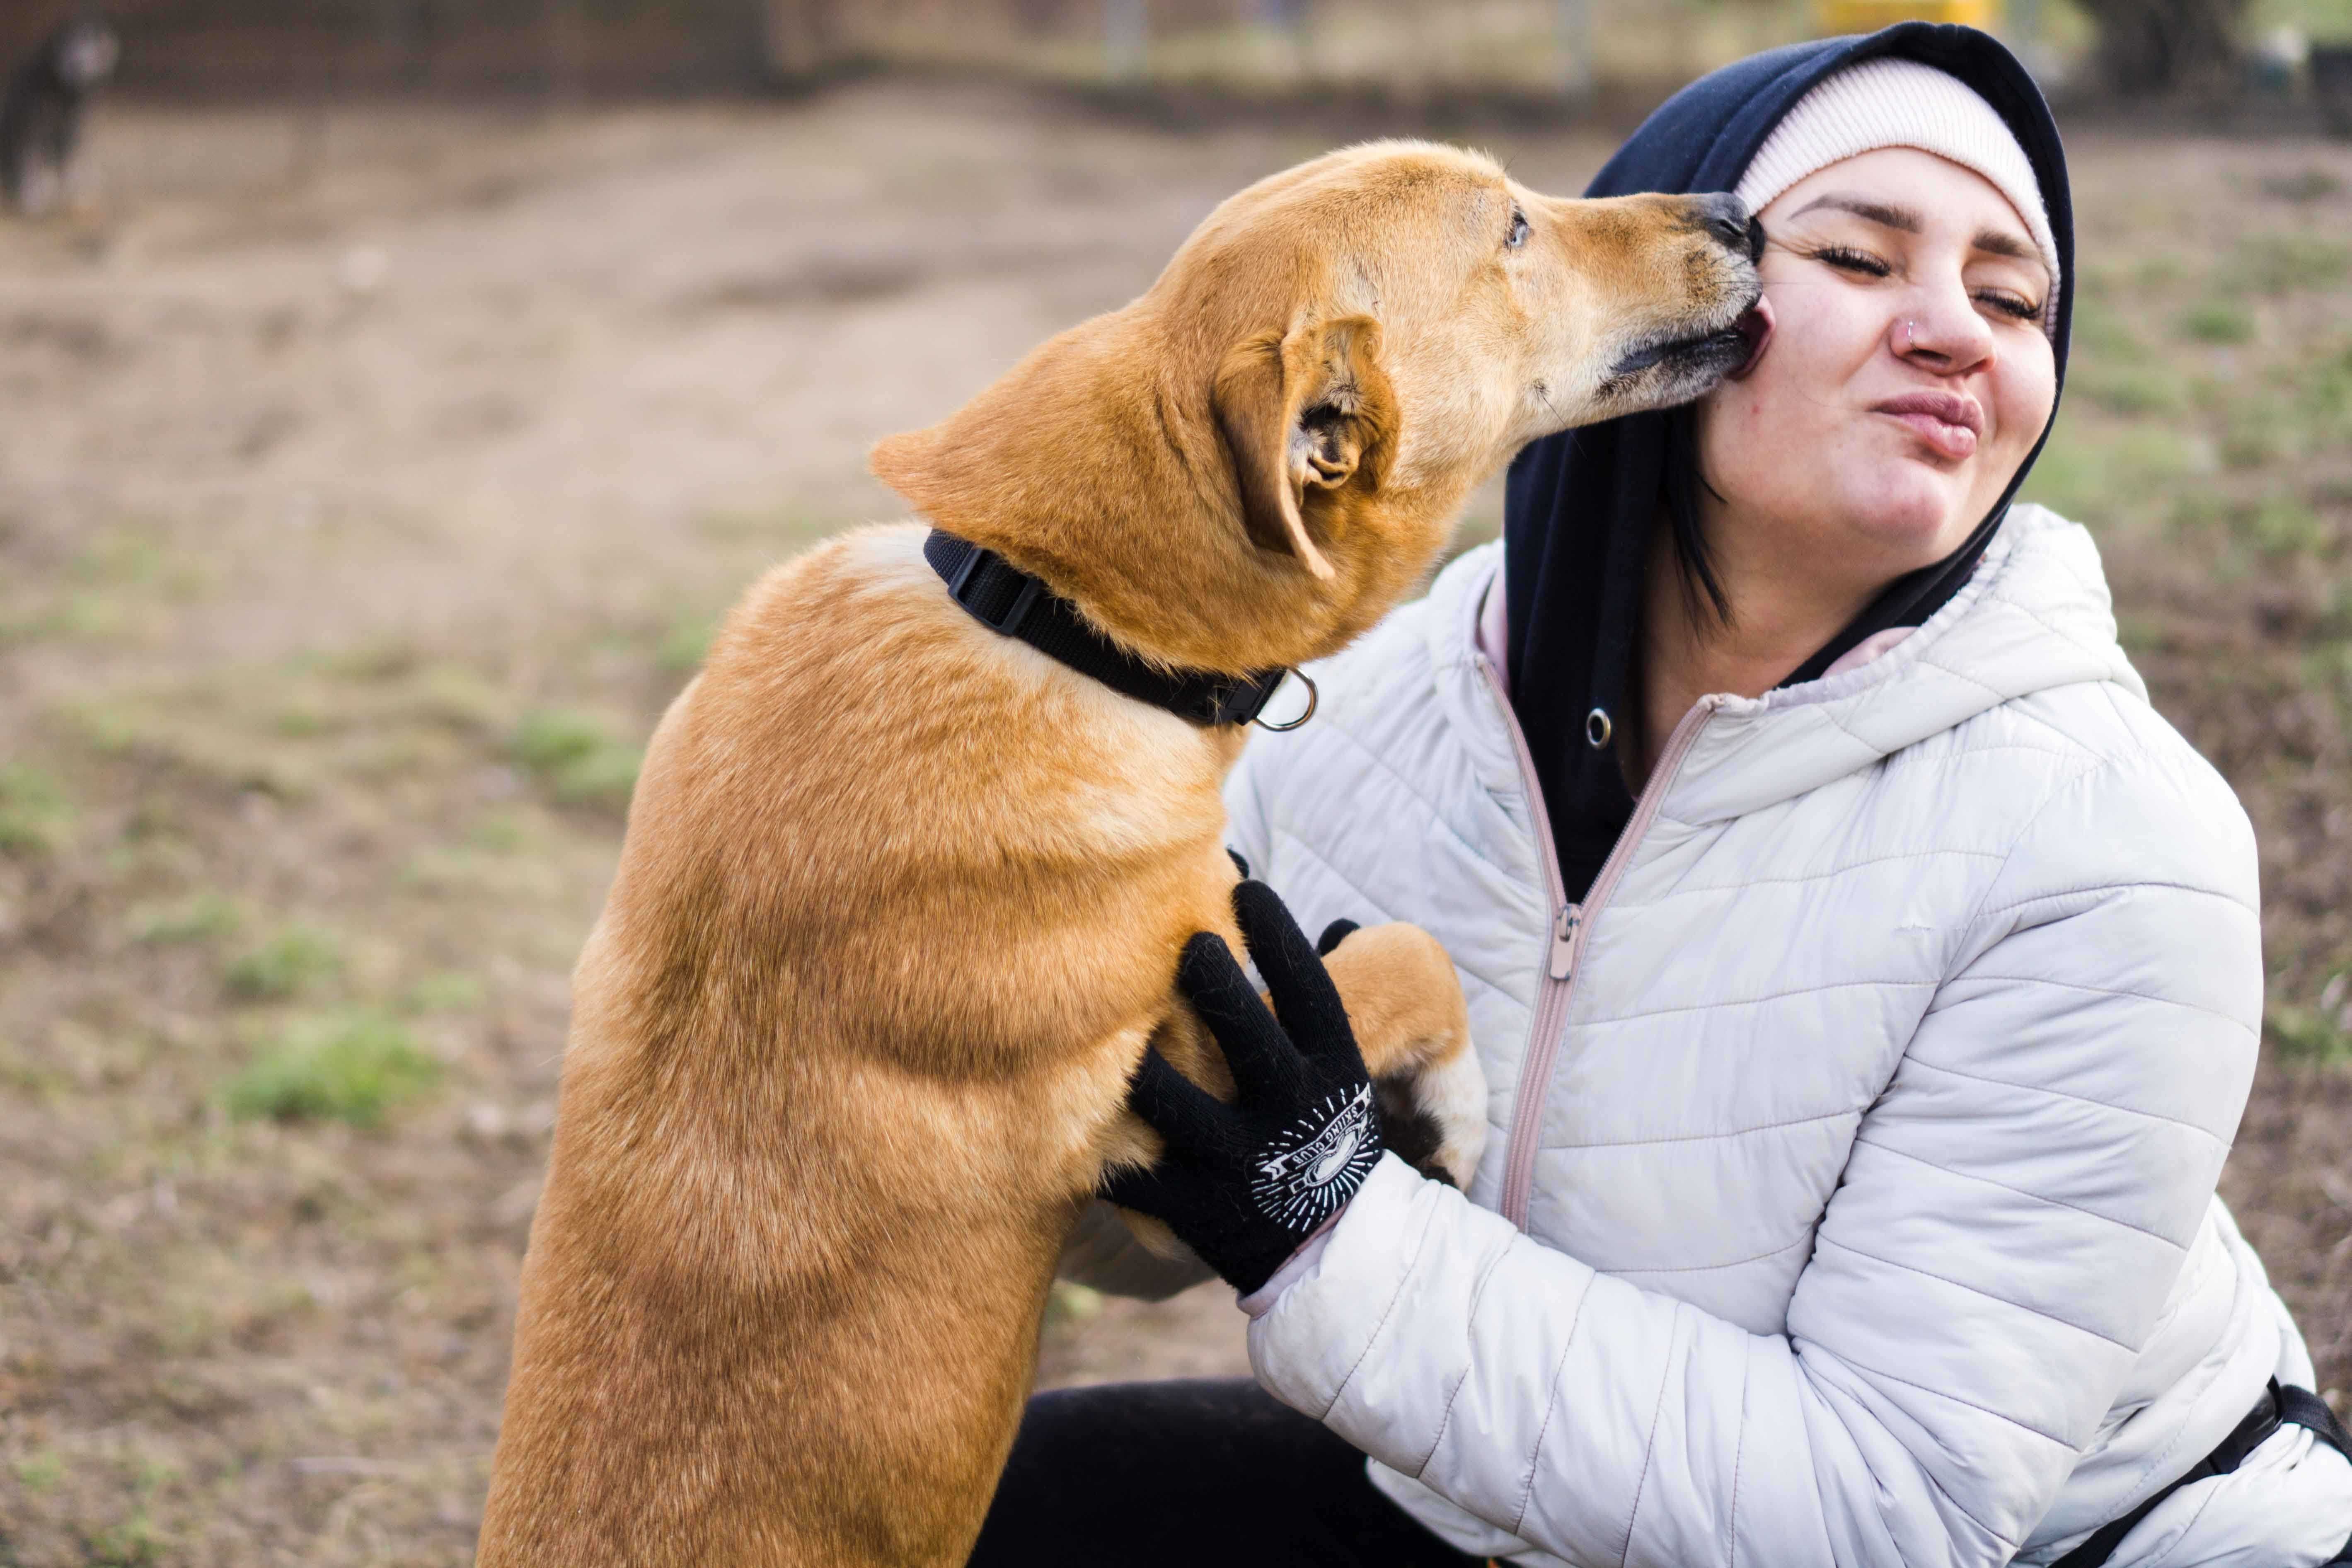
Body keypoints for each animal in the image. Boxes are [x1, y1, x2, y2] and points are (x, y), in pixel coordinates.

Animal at [482, 141, 1769, 1561]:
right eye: (1514, 233)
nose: (1737, 213)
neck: (1049, 618)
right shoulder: (1180, 1082)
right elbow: (1403, 951)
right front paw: (1452, 1109)